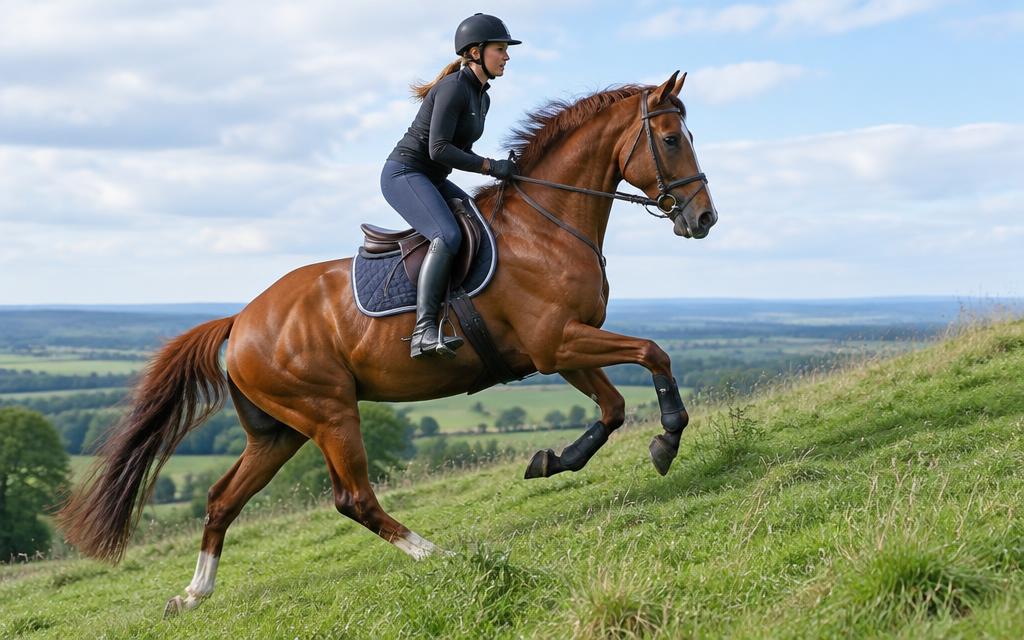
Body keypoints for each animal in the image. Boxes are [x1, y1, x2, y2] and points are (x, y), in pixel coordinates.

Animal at [56, 70, 718, 616]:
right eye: (671, 139)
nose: (704, 219)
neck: (546, 224)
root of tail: (240, 322)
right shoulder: (560, 344)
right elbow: (652, 353)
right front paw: (668, 437)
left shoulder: (560, 348)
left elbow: (612, 407)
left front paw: (552, 460)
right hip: (327, 413)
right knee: (353, 498)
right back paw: (438, 554)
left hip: (280, 430)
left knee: (222, 499)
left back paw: (194, 594)